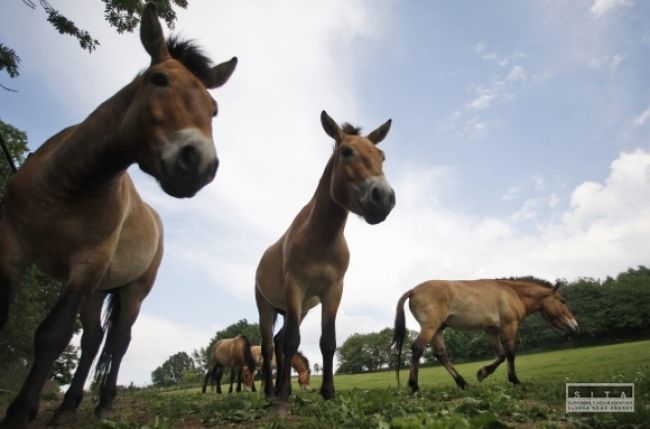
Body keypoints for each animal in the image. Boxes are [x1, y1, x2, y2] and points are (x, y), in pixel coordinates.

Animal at [0, 4, 238, 428]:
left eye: (214, 109)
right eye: (159, 79)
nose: (200, 164)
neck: (69, 182)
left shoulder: (87, 264)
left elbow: (52, 335)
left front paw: (21, 411)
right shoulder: (11, 247)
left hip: (129, 289)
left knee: (120, 340)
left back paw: (103, 402)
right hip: (96, 289)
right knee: (94, 339)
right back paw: (67, 406)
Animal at [254, 110, 394, 414]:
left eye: (381, 155)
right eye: (346, 152)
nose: (384, 198)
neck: (320, 238)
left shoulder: (333, 291)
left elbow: (327, 342)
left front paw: (328, 393)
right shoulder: (295, 287)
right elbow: (293, 341)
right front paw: (282, 402)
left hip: (300, 309)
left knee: (279, 343)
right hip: (267, 308)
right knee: (270, 346)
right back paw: (270, 392)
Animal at [390, 278, 576, 392]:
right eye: (563, 301)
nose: (575, 327)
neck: (512, 292)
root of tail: (413, 291)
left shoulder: (491, 331)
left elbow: (501, 355)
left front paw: (483, 373)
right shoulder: (509, 326)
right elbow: (510, 353)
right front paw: (514, 380)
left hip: (437, 330)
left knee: (441, 354)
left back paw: (463, 383)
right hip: (430, 328)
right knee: (417, 349)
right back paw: (414, 387)